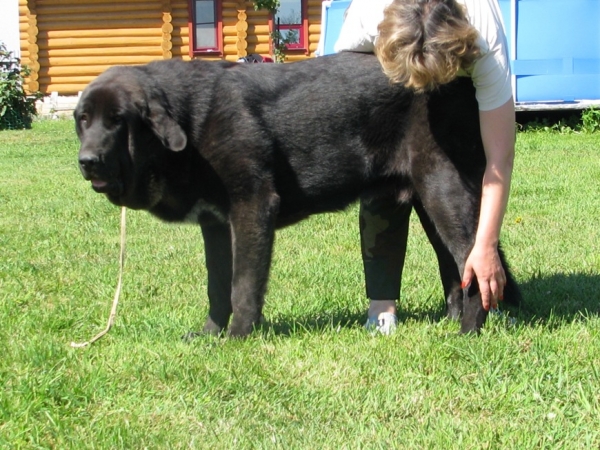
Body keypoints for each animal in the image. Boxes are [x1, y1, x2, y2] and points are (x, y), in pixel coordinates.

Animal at [76, 51, 520, 336]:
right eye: (83, 120)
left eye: (117, 121)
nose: (87, 160)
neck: (189, 125)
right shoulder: (215, 224)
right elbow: (217, 286)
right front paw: (208, 336)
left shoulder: (253, 206)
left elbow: (243, 285)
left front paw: (239, 338)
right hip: (432, 201)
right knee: (465, 265)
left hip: (442, 190)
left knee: (474, 263)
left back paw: (466, 332)